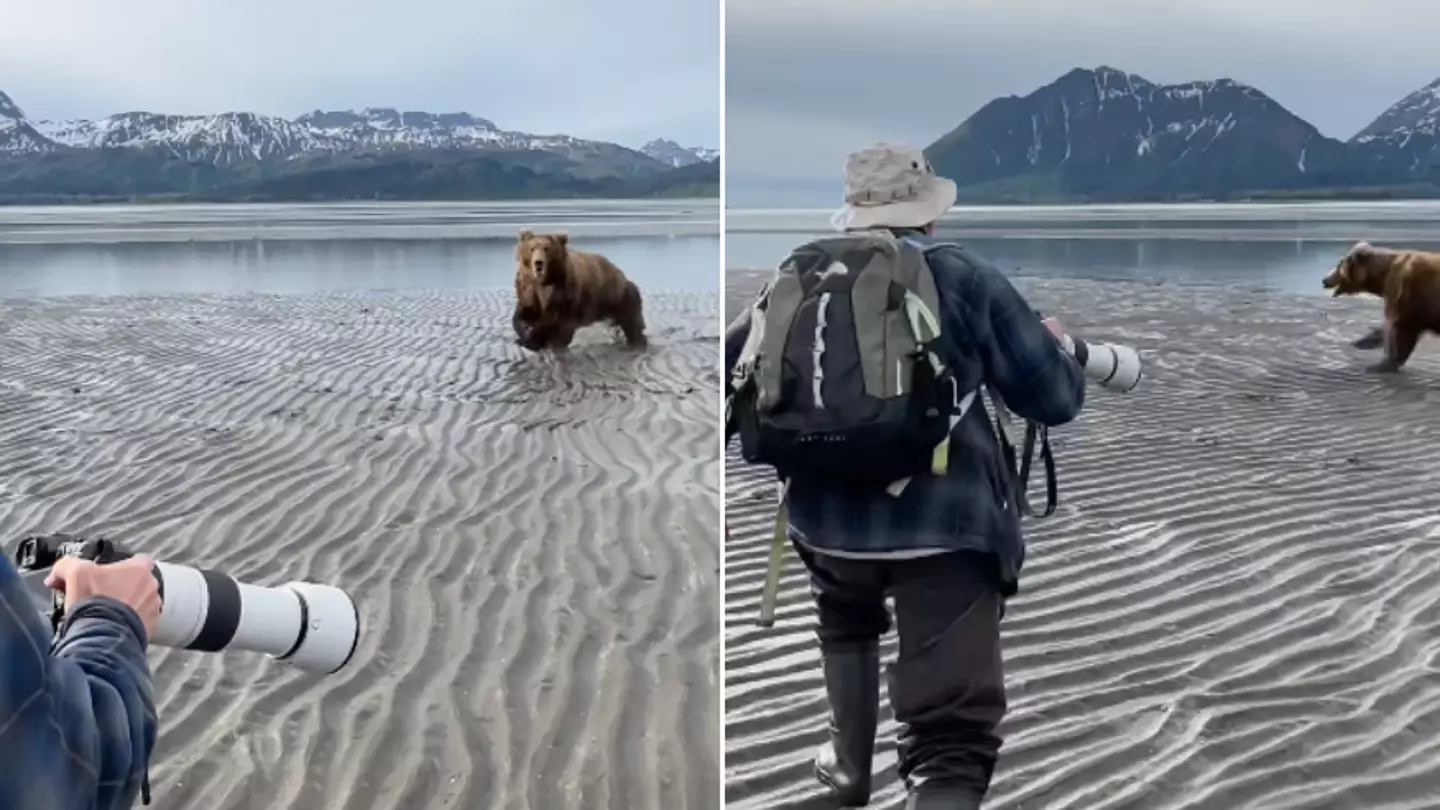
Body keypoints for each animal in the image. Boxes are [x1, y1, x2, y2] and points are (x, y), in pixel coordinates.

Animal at [512, 229, 648, 351]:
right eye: (532, 248)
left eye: (547, 248)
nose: (538, 263)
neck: (544, 281)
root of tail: (623, 276)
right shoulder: (528, 289)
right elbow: (524, 312)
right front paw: (524, 333)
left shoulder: (563, 294)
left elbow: (553, 321)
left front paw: (535, 340)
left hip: (620, 297)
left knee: (633, 325)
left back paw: (637, 343)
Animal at [1319, 237, 1440, 371]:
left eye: (1339, 265)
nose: (1324, 280)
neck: (1381, 279)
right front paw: (1363, 341)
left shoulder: (1410, 296)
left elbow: (1401, 330)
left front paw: (1384, 364)